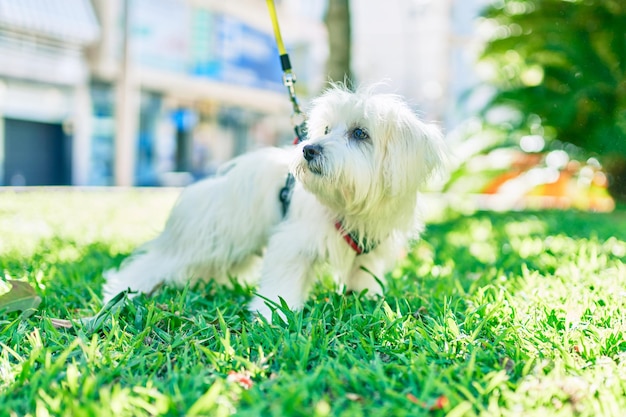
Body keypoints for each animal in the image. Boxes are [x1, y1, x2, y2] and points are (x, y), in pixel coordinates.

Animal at [102, 84, 446, 318]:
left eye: (360, 133)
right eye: (326, 128)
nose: (309, 149)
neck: (349, 205)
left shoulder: (370, 250)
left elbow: (363, 276)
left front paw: (365, 299)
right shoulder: (293, 243)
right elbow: (282, 282)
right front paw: (273, 315)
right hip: (203, 242)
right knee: (153, 264)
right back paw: (120, 290)